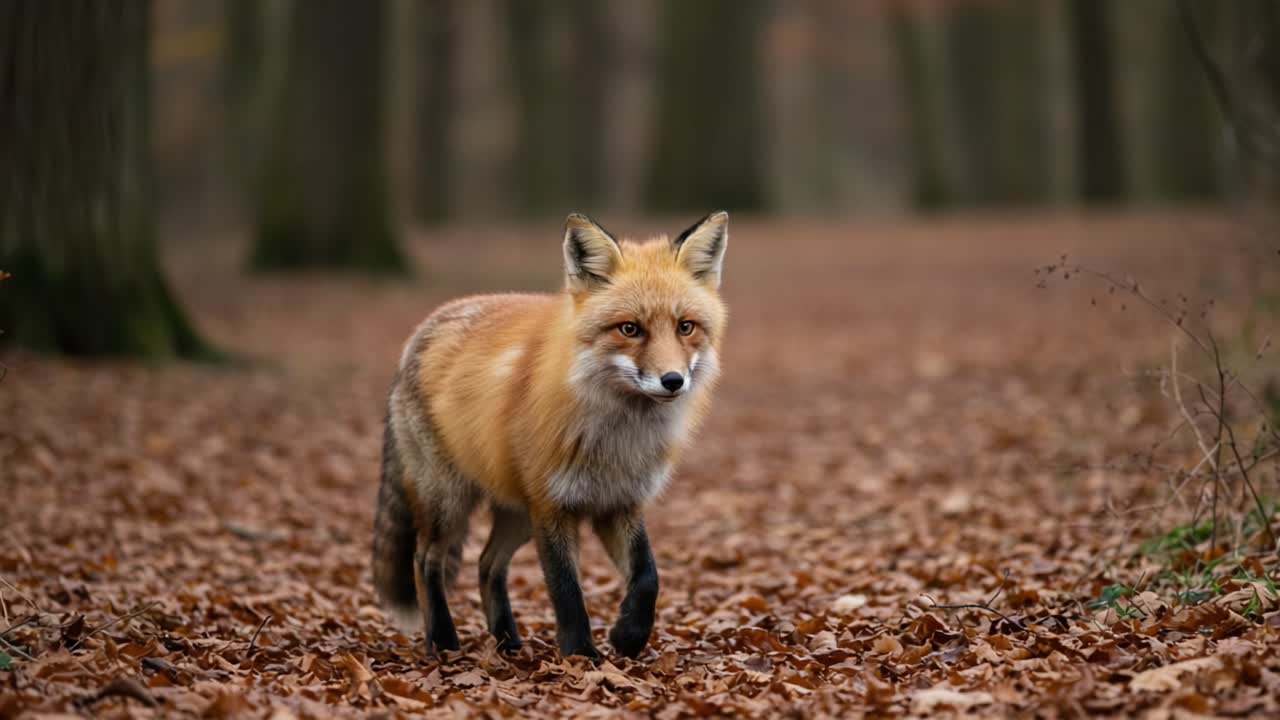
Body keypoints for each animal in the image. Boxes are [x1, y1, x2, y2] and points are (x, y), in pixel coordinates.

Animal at [371, 212, 729, 659]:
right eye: (630, 329)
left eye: (686, 327)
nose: (673, 380)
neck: (617, 439)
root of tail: (421, 329)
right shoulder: (553, 506)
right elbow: (566, 590)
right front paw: (581, 655)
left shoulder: (620, 503)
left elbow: (648, 577)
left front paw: (628, 636)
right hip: (449, 502)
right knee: (426, 562)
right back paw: (443, 642)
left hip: (516, 512)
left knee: (487, 564)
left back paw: (507, 642)